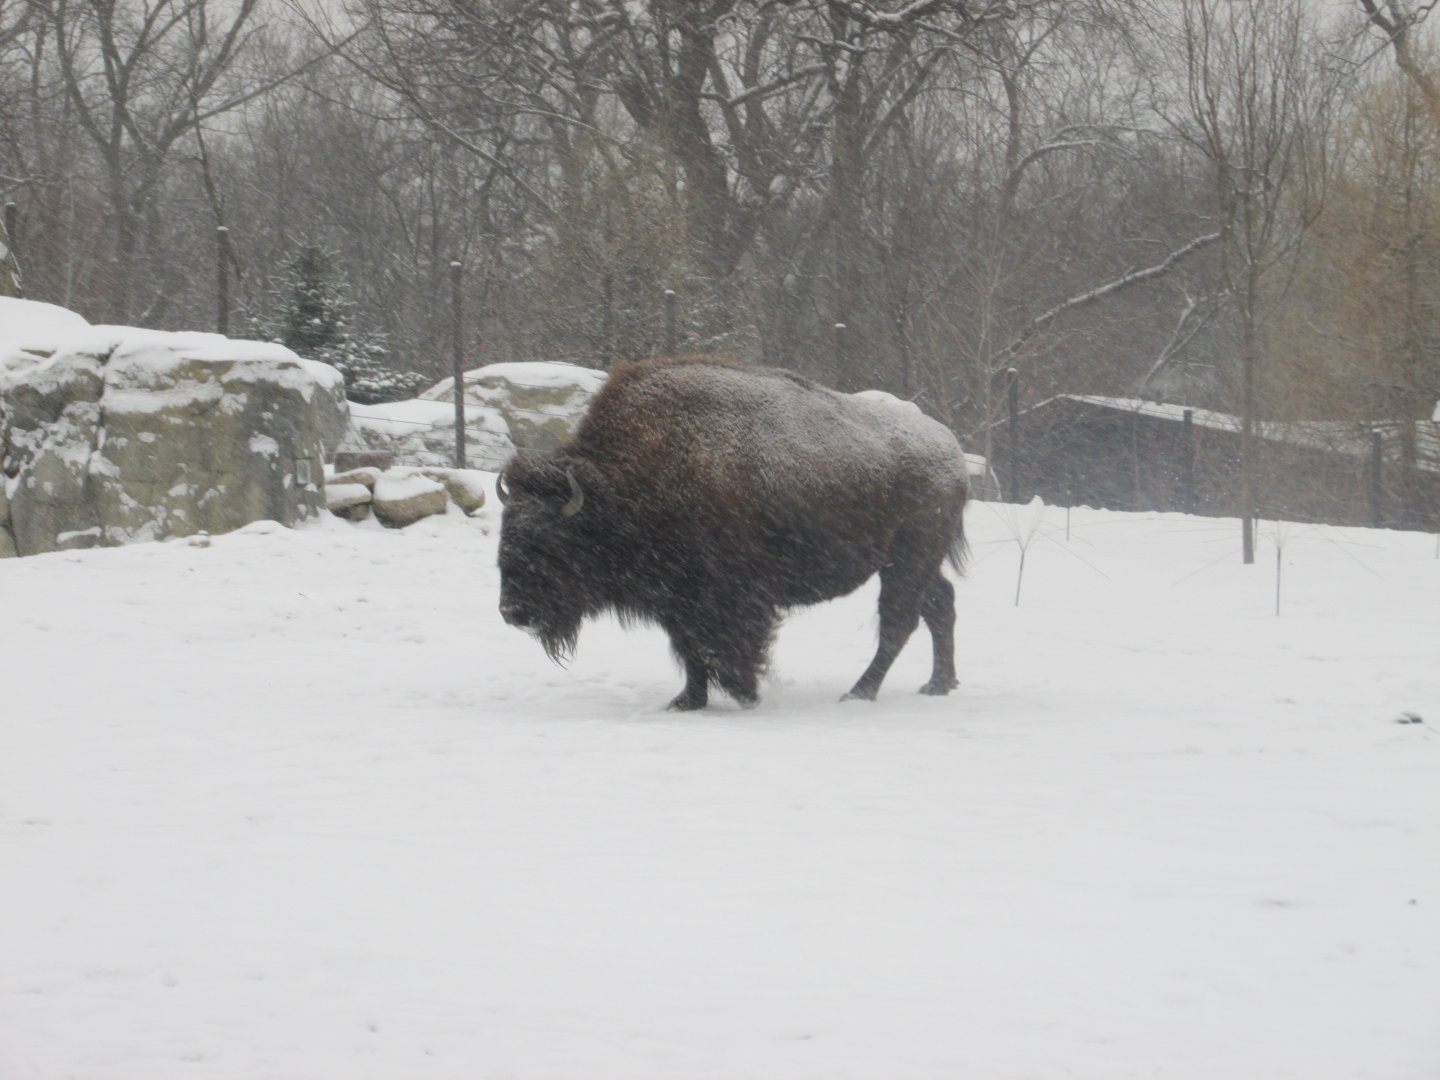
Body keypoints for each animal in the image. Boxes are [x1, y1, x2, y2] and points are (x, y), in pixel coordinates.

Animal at [495, 357, 968, 710]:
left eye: (549, 542)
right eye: (507, 534)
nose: (512, 611)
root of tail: (953, 453)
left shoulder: (728, 597)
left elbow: (719, 646)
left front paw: (745, 693)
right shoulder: (677, 600)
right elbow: (689, 649)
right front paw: (686, 701)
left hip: (908, 560)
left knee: (899, 621)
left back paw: (859, 693)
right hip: (912, 563)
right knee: (939, 606)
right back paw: (938, 684)